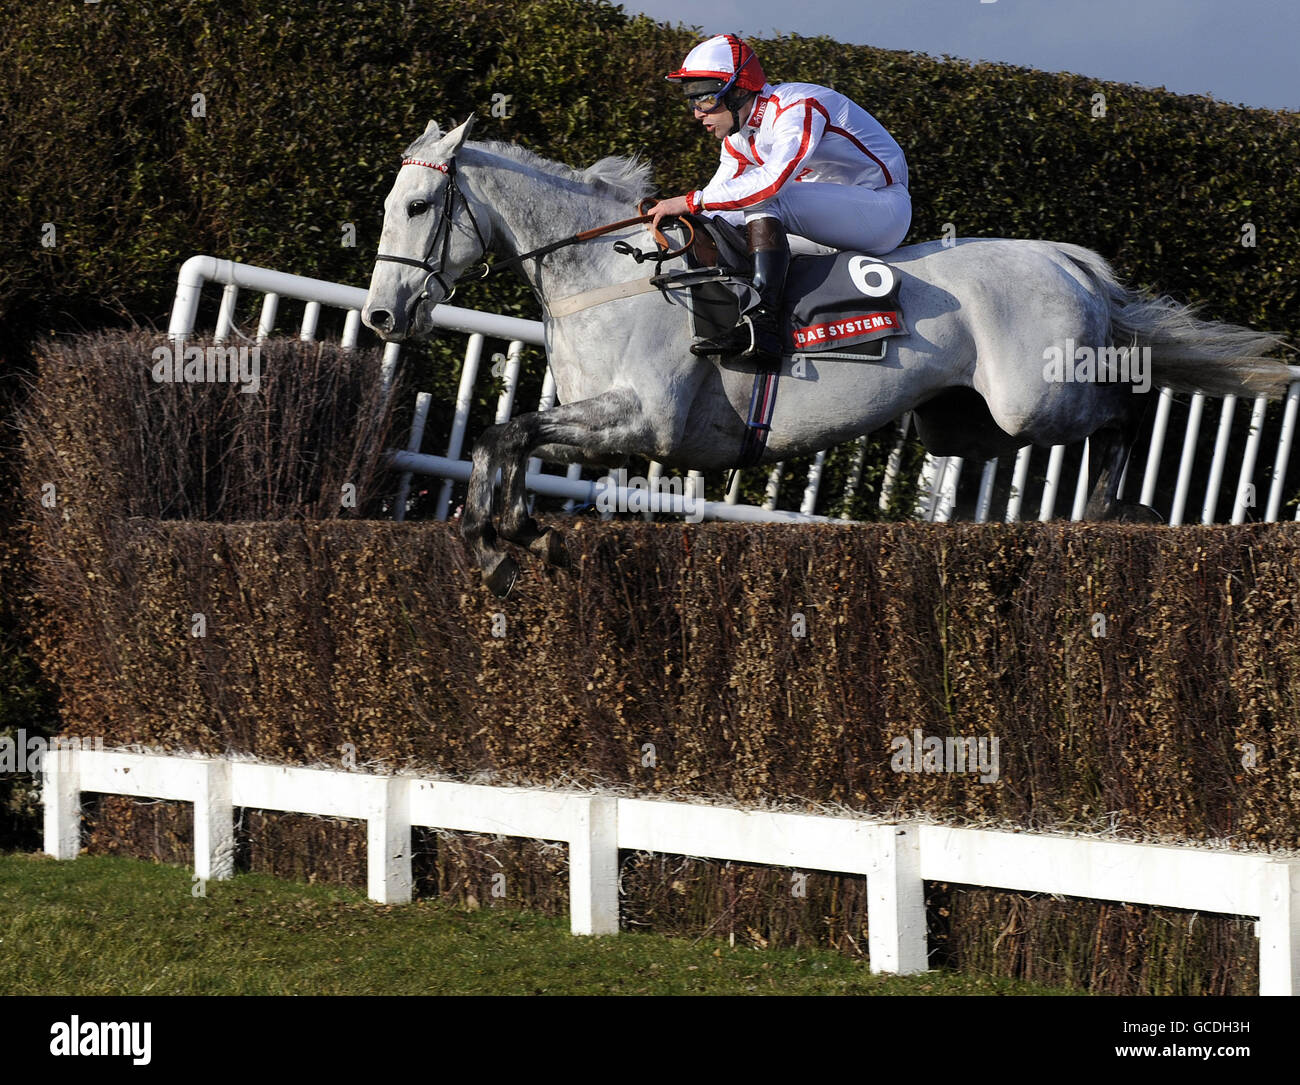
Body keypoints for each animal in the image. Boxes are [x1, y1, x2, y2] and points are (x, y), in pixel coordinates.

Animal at [361, 114, 1294, 597]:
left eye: (418, 205)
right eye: (389, 201)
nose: (379, 315)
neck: (611, 275)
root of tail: (1072, 260)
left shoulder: (645, 421)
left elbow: (506, 434)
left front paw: (513, 535)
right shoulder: (597, 418)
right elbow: (504, 439)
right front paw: (497, 536)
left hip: (1037, 398)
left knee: (1126, 408)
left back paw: (1112, 511)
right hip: (963, 422)